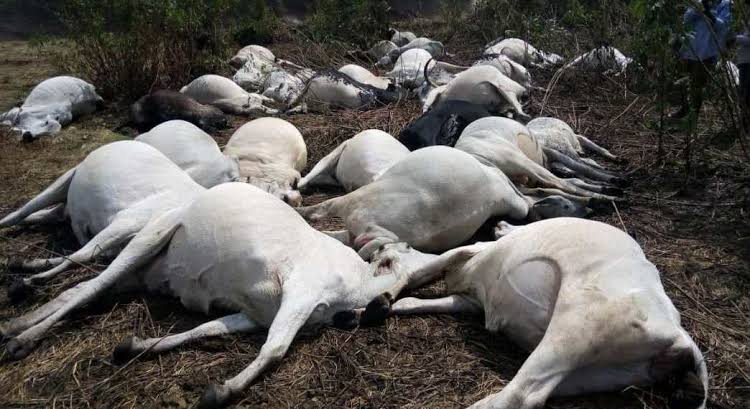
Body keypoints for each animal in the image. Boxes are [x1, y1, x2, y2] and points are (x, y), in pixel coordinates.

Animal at [0, 141, 204, 300]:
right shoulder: (126, 222)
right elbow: (80, 256)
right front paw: (27, 280)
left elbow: (87, 255)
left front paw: (26, 272)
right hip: (64, 182)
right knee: (21, 213)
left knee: (50, 218)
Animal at [0, 182, 455, 408]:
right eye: (391, 261)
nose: (379, 308)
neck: (356, 283)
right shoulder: (300, 292)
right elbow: (275, 349)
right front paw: (222, 391)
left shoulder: (254, 314)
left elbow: (204, 330)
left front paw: (136, 345)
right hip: (149, 236)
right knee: (90, 281)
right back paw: (21, 337)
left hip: (141, 273)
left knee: (82, 287)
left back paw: (17, 320)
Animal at [360, 218, 708, 409]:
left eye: (385, 255)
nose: (379, 249)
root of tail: (680, 337)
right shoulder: (470, 301)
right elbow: (413, 300)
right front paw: (377, 308)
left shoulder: (472, 251)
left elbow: (418, 272)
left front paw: (376, 304)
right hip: (597, 373)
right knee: (536, 394)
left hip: (573, 331)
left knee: (518, 396)